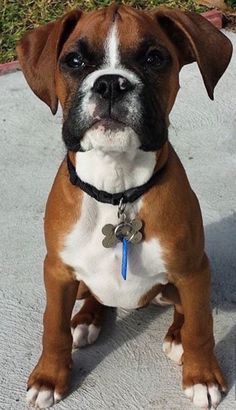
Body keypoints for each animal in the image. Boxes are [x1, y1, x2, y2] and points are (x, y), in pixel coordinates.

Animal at [17, 4, 232, 410]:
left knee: (183, 310)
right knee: (89, 297)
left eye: (154, 58)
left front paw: (201, 375)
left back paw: (176, 336)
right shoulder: (57, 271)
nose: (111, 83)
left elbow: (201, 324)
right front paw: (49, 377)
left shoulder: (193, 270)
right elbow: (53, 326)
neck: (116, 190)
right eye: (74, 60)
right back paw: (86, 319)